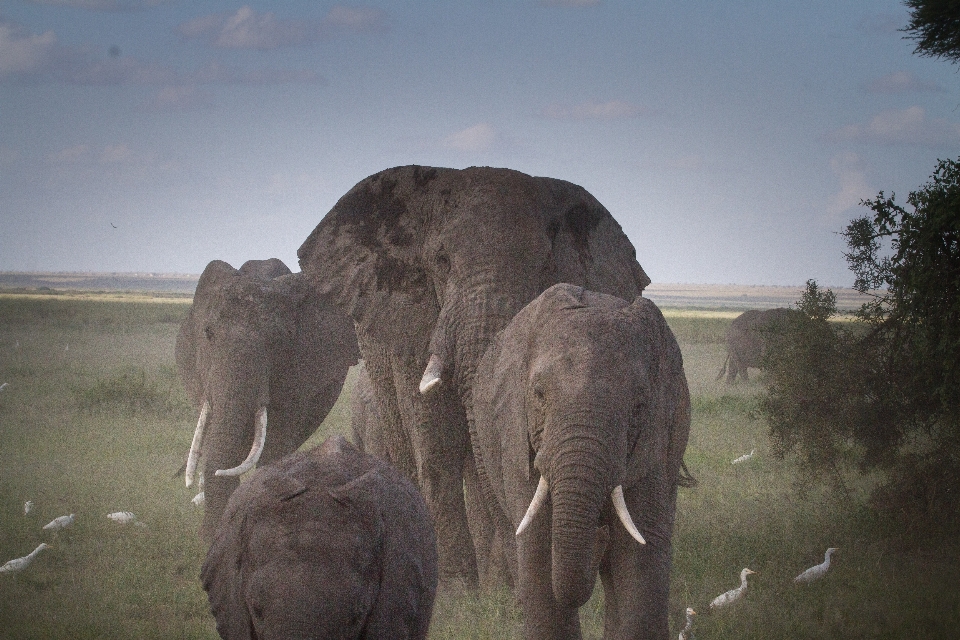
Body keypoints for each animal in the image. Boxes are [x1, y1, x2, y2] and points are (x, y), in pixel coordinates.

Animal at [296, 166, 648, 592]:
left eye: (545, 265)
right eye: (442, 261)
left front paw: (500, 587)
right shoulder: (414, 321)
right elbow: (437, 443)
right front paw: (458, 590)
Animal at [470, 284, 688, 640]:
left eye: (639, 406)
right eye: (539, 394)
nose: (599, 535)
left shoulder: (656, 441)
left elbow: (639, 554)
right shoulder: (517, 438)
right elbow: (537, 548)